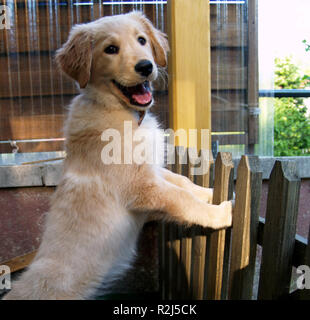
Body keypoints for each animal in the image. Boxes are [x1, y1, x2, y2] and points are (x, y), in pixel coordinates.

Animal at [1, 10, 230, 300]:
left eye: (142, 40)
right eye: (110, 49)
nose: (145, 66)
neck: (122, 111)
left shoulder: (151, 170)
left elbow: (183, 182)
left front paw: (210, 192)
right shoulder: (141, 186)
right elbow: (182, 199)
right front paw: (220, 213)